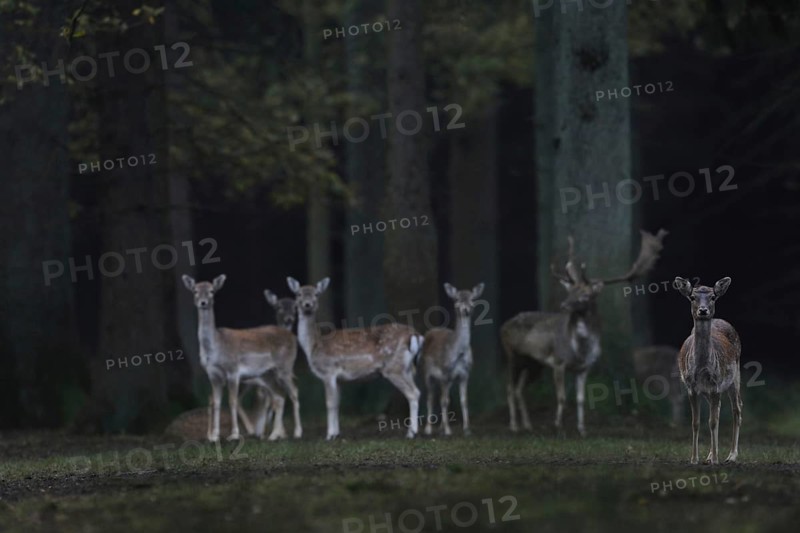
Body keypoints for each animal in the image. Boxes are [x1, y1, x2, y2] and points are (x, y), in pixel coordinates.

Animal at [182, 274, 302, 442]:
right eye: (195, 290)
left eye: (212, 291)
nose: (203, 302)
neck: (215, 349)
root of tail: (293, 337)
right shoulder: (212, 374)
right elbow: (216, 402)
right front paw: (214, 436)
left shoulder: (233, 371)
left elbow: (232, 401)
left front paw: (234, 435)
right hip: (267, 375)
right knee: (279, 396)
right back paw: (273, 435)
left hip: (285, 367)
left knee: (294, 392)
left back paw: (297, 433)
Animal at [287, 276, 423, 440]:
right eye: (299, 294)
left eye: (316, 294)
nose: (308, 304)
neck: (313, 346)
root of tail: (415, 335)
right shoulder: (339, 379)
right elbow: (337, 403)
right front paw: (336, 433)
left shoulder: (328, 371)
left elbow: (329, 403)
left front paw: (329, 435)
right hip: (406, 368)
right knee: (417, 391)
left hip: (393, 368)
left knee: (413, 393)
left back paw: (411, 433)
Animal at [420, 282, 484, 436]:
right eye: (456, 299)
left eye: (472, 299)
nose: (466, 309)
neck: (459, 353)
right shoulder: (445, 372)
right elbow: (444, 401)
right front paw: (448, 431)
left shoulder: (465, 374)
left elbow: (464, 400)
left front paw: (467, 430)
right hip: (426, 373)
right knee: (431, 398)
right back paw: (429, 429)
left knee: (440, 397)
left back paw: (440, 428)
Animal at [502, 229, 668, 436]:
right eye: (570, 291)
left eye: (585, 295)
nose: (564, 305)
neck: (579, 350)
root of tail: (504, 324)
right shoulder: (558, 362)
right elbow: (562, 397)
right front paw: (559, 428)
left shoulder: (585, 367)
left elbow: (581, 399)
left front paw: (582, 430)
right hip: (512, 354)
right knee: (509, 388)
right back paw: (514, 426)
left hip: (533, 363)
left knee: (519, 389)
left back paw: (527, 425)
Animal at [673, 276, 741, 465]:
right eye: (692, 297)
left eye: (713, 297)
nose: (703, 310)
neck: (702, 368)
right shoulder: (691, 387)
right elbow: (696, 422)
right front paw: (694, 459)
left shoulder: (716, 384)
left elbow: (713, 422)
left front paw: (716, 460)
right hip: (708, 391)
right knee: (717, 410)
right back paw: (710, 454)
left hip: (735, 376)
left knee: (737, 409)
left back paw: (731, 455)